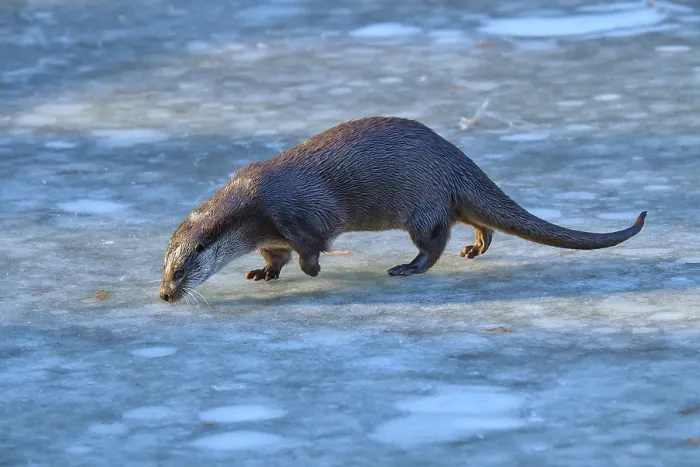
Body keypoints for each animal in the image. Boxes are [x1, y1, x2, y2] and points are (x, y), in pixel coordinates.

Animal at [159, 116, 646, 303]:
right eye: (162, 269)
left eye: (181, 270)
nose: (164, 294)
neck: (254, 207)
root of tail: (455, 160)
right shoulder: (271, 235)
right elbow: (274, 256)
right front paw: (264, 273)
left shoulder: (299, 215)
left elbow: (312, 246)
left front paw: (312, 270)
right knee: (478, 222)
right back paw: (475, 249)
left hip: (421, 203)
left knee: (434, 240)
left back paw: (407, 267)